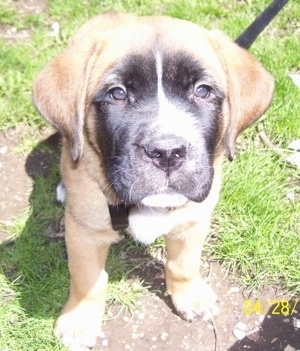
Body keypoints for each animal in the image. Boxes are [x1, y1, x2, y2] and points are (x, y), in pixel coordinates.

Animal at [32, 12, 274, 350]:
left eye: (202, 91)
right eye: (117, 93)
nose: (167, 152)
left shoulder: (194, 219)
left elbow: (183, 264)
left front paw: (190, 296)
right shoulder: (85, 231)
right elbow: (87, 279)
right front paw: (79, 320)